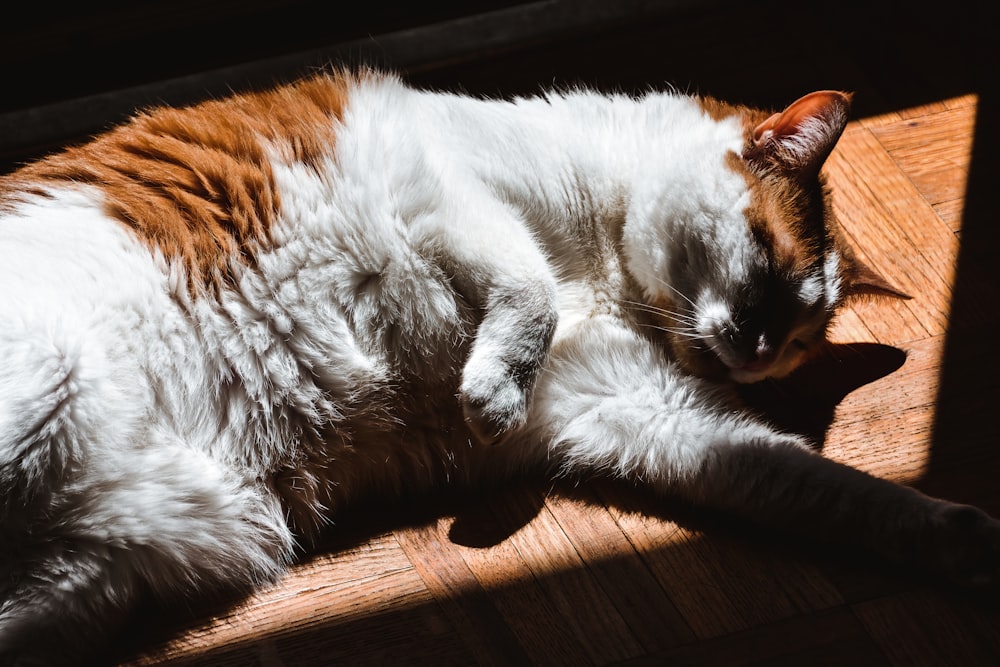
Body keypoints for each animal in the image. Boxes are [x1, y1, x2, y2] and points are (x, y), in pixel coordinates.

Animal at [1, 69, 1000, 667]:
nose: (754, 351)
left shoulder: (634, 410)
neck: (613, 277)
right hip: (54, 388)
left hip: (100, 577)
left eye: (796, 338)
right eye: (764, 258)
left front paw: (963, 537)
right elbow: (530, 291)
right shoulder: (445, 196)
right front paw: (489, 394)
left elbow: (824, 486)